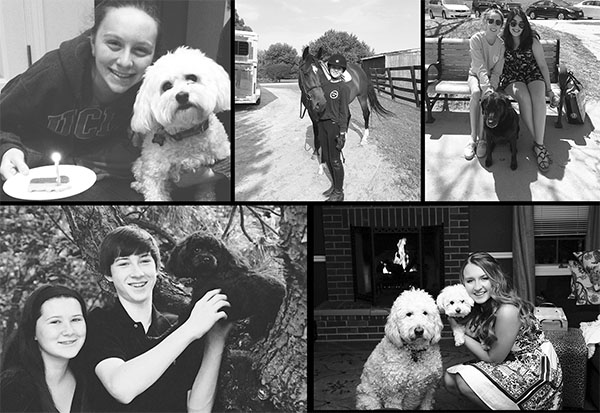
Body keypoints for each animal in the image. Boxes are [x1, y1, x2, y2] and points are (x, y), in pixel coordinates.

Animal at [130, 45, 231, 200]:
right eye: (166, 86)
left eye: (192, 77)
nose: (182, 96)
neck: (186, 133)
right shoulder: (154, 173)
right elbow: (154, 192)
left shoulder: (214, 167)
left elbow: (206, 191)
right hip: (139, 164)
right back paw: (138, 186)